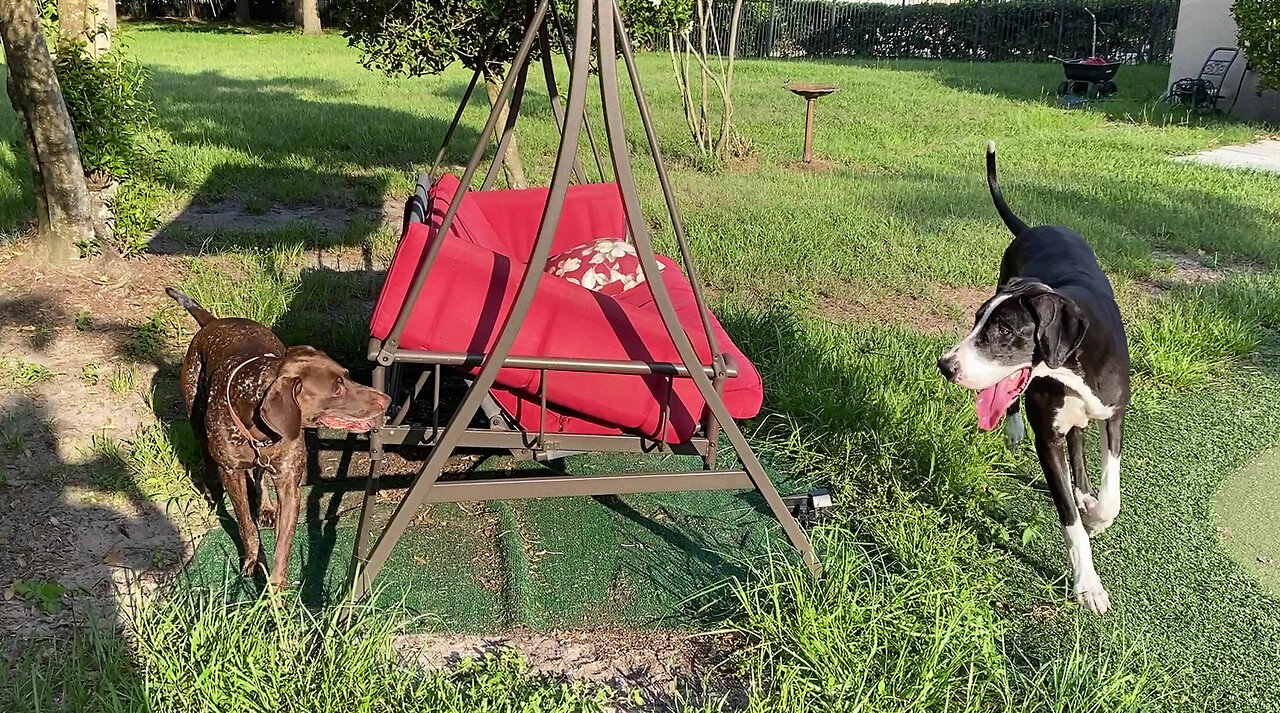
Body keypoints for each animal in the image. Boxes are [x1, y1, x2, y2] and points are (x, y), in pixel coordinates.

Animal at [170, 286, 389, 586]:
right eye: (337, 388)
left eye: (347, 376)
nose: (386, 399)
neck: (260, 434)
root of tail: (212, 321)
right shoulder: (232, 473)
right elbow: (245, 524)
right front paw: (253, 560)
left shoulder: (288, 484)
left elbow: (283, 544)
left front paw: (275, 589)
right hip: (196, 419)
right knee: (208, 457)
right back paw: (213, 490)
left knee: (259, 477)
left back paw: (265, 507)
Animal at [931, 143, 1131, 611]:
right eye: (976, 320)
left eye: (1005, 330)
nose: (947, 365)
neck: (1075, 361)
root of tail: (1033, 227)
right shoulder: (1047, 439)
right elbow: (1069, 519)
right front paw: (1087, 583)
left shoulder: (1113, 414)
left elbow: (1110, 495)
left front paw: (1096, 514)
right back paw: (1013, 429)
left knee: (1078, 441)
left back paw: (1085, 490)